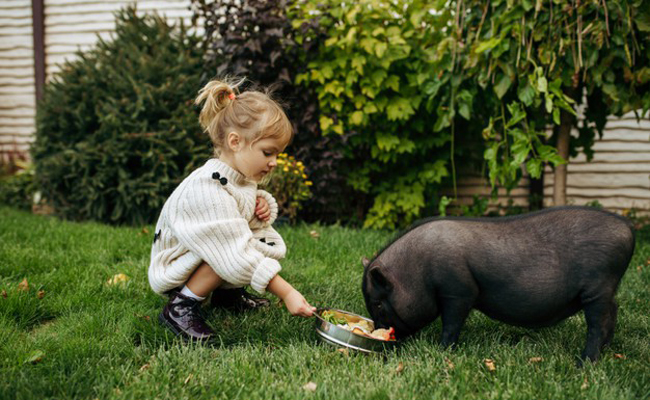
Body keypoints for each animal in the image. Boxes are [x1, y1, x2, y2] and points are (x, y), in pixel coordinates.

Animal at [362, 206, 636, 362]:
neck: (418, 271)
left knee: (598, 323)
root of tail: (628, 231)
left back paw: (584, 362)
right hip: (605, 290)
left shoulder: (459, 291)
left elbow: (451, 323)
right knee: (613, 311)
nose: (382, 333)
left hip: (598, 287)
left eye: (378, 303)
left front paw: (442, 350)